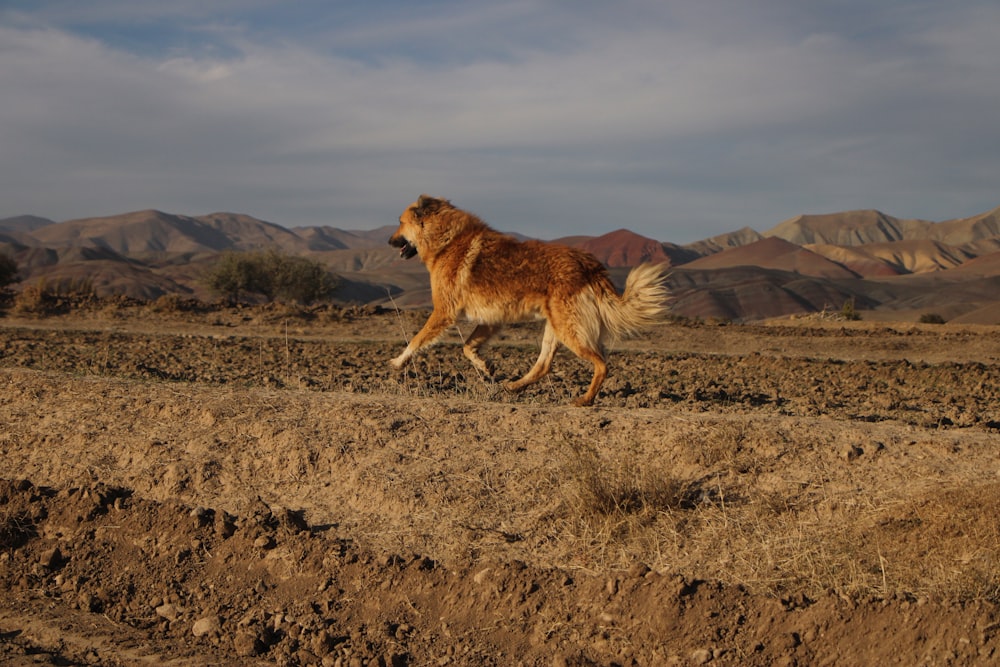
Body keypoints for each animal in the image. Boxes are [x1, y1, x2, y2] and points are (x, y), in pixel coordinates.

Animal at [386, 194, 668, 408]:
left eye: (399, 222)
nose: (389, 241)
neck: (447, 239)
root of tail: (590, 265)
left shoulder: (444, 312)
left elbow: (417, 340)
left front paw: (397, 363)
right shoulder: (492, 319)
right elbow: (467, 347)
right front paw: (486, 368)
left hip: (570, 331)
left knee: (602, 364)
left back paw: (584, 400)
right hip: (555, 327)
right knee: (543, 365)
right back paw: (513, 387)